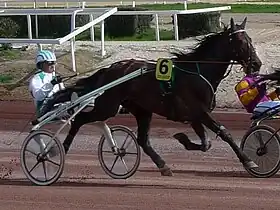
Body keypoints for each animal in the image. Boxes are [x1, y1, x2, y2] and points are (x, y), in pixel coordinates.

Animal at [39, 17, 262, 176]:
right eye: (241, 41)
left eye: (251, 40)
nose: (257, 64)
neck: (198, 72)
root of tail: (109, 69)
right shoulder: (200, 112)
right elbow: (224, 133)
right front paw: (249, 161)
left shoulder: (194, 116)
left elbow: (206, 143)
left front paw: (183, 139)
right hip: (108, 106)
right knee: (80, 119)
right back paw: (55, 151)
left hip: (142, 110)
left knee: (142, 140)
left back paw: (163, 165)